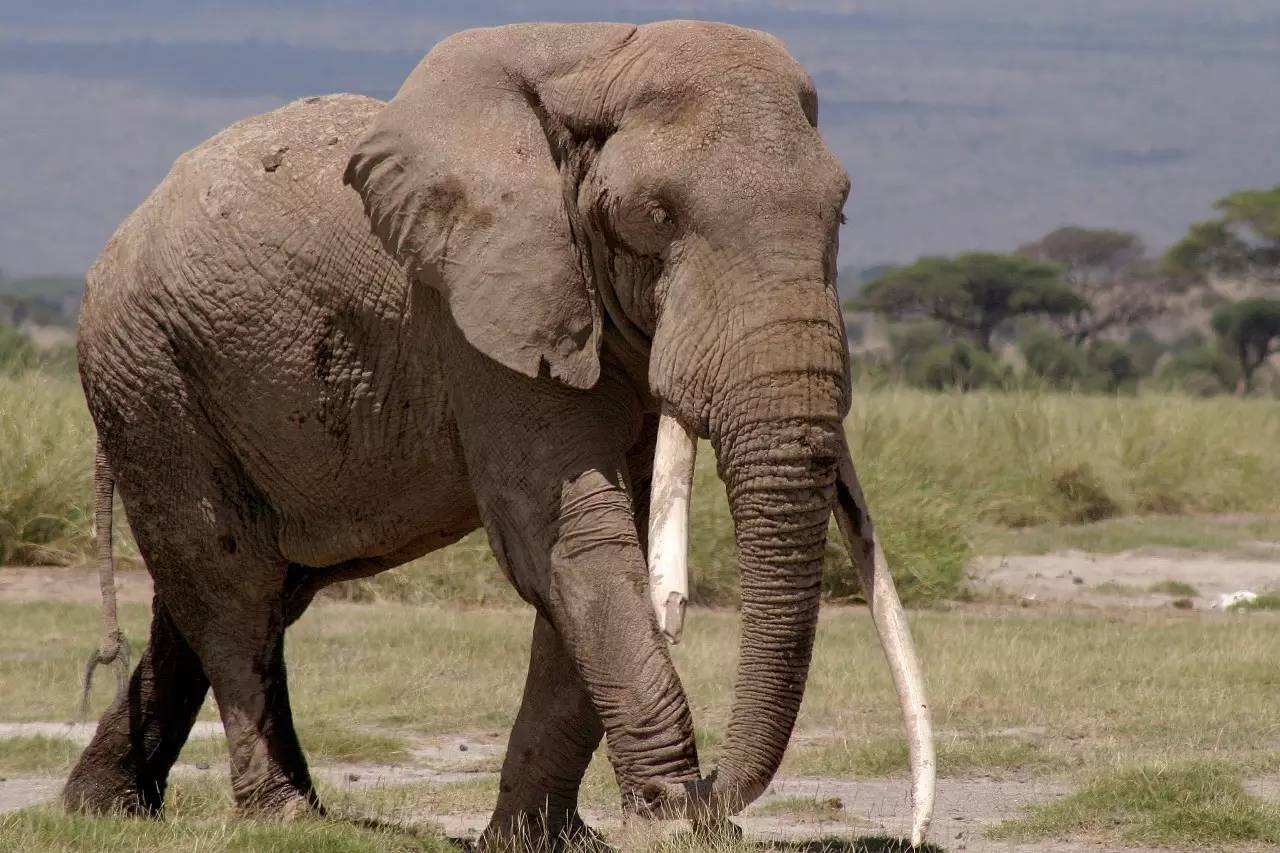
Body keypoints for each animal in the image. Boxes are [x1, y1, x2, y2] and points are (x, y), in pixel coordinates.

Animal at [67, 20, 935, 848]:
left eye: (841, 212)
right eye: (654, 217)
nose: (706, 793)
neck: (598, 56)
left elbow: (591, 546)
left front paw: (547, 838)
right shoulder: (477, 310)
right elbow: (572, 536)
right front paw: (669, 823)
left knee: (238, 588)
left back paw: (104, 807)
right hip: (150, 371)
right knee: (230, 586)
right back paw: (284, 818)